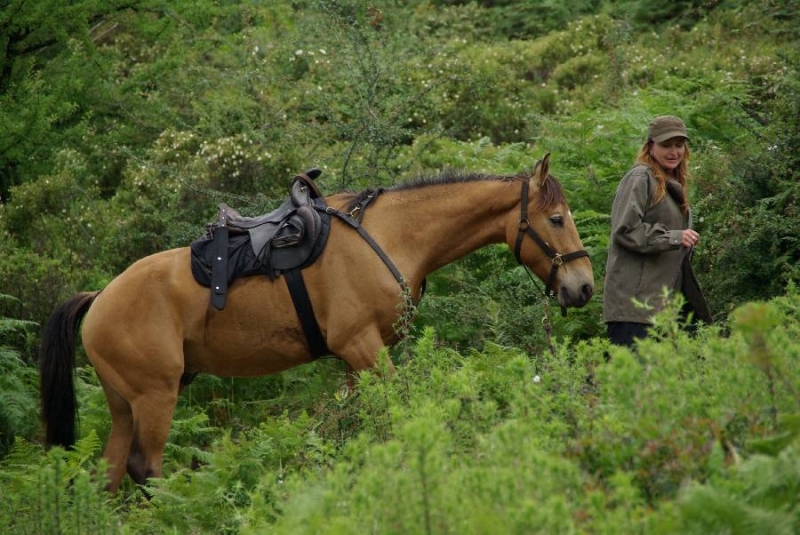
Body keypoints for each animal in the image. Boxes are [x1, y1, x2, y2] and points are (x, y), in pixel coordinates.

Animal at [37, 152, 592, 494]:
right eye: (557, 219)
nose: (584, 286)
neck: (392, 236)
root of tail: (99, 298)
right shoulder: (364, 349)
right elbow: (396, 414)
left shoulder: (357, 359)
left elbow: (354, 425)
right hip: (156, 397)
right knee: (144, 468)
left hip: (124, 404)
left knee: (108, 473)